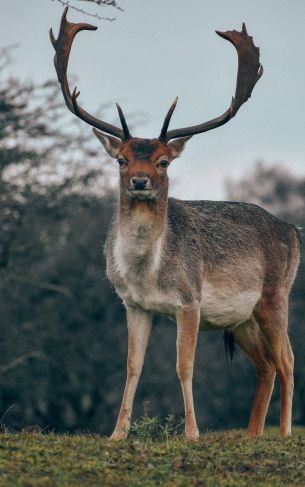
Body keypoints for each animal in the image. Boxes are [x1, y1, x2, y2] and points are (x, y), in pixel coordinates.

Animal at [50, 7, 300, 442]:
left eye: (163, 161)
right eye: (122, 159)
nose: (139, 181)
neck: (147, 272)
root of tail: (294, 231)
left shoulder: (190, 300)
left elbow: (185, 366)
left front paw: (192, 433)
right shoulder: (132, 304)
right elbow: (132, 366)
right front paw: (117, 434)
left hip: (276, 294)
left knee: (287, 359)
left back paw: (283, 432)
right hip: (242, 318)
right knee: (266, 365)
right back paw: (251, 434)